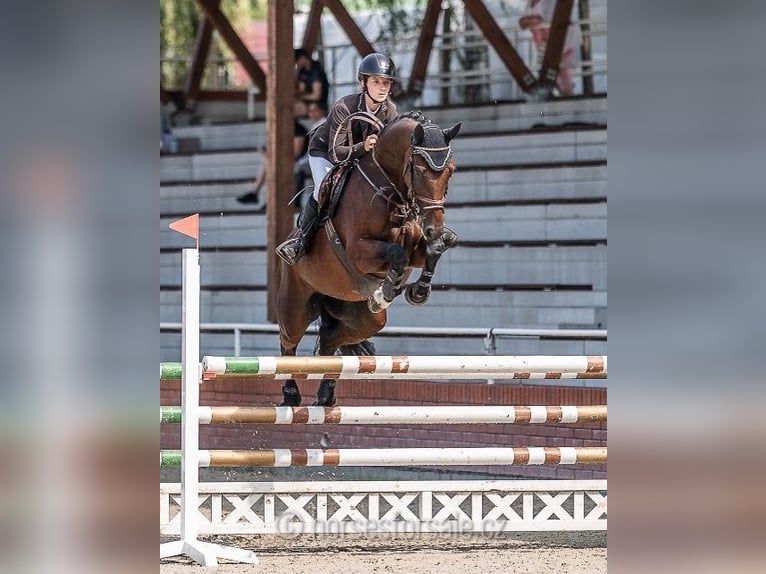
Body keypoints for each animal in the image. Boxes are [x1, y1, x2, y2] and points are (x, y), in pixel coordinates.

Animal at [276, 111, 462, 410]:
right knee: (288, 343)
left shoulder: (418, 249)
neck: (390, 191)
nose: (433, 226)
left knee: (329, 340)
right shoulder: (358, 251)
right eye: (419, 171)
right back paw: (291, 394)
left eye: (451, 171)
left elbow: (435, 249)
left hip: (362, 318)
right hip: (295, 304)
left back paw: (326, 394)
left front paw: (417, 291)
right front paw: (385, 290)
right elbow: (396, 254)